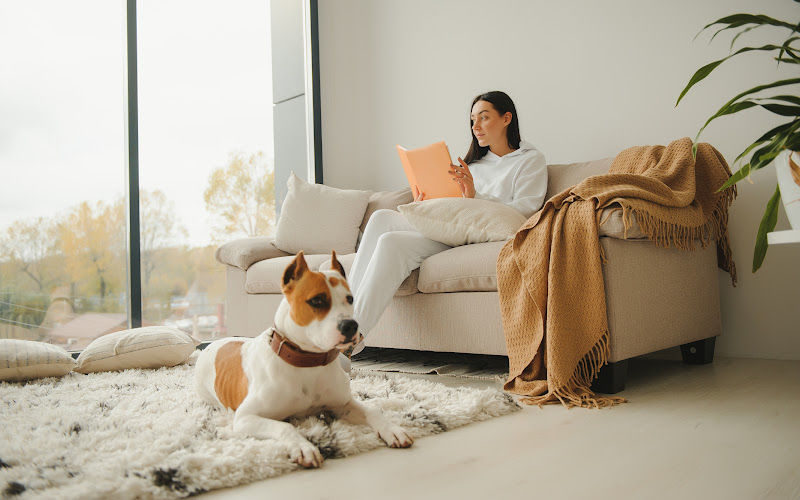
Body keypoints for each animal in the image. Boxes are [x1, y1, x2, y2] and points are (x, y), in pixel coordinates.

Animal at [195, 250, 412, 468]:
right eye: (317, 301)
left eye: (350, 299)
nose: (351, 325)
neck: (309, 361)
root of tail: (213, 343)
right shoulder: (246, 417)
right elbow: (284, 427)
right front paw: (303, 447)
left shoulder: (343, 405)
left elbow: (373, 411)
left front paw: (392, 429)